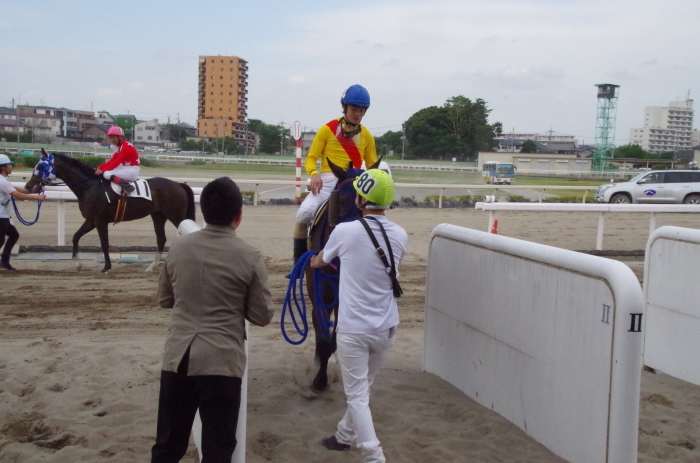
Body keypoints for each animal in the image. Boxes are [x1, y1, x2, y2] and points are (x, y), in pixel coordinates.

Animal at [25, 149, 194, 274]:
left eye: (40, 167)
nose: (28, 186)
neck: (89, 187)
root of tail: (178, 184)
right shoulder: (91, 220)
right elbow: (75, 237)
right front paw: (78, 264)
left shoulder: (100, 221)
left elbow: (104, 243)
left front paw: (106, 267)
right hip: (158, 216)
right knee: (161, 239)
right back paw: (152, 266)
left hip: (175, 215)